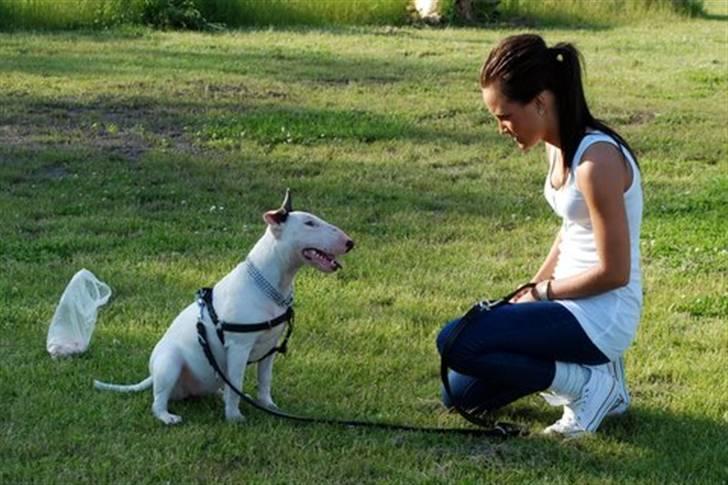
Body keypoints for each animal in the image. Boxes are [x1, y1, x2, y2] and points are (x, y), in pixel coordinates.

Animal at [95, 190, 354, 424]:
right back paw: (167, 416)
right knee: (159, 400)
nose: (350, 242)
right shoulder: (238, 348)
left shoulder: (270, 349)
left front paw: (268, 406)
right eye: (310, 223)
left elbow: (264, 380)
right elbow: (236, 382)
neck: (268, 285)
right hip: (170, 362)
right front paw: (234, 417)